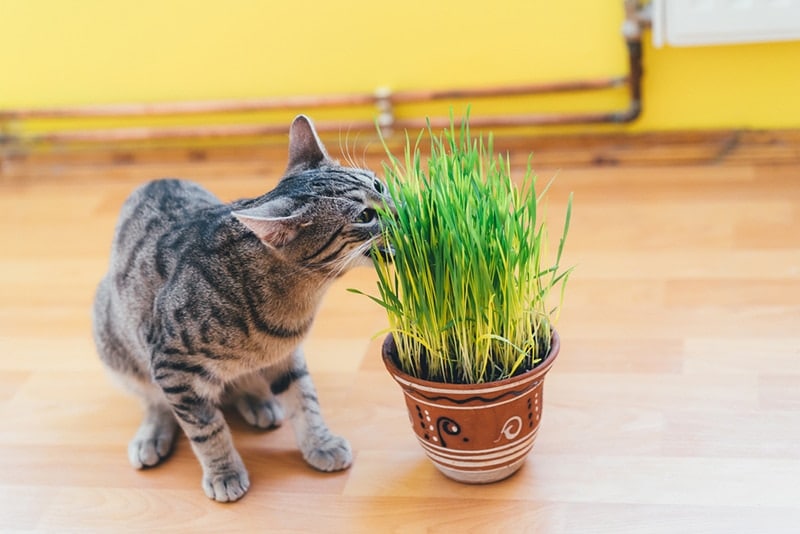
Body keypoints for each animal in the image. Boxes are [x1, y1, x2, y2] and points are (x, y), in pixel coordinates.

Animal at [94, 115, 394, 504]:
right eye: (366, 215)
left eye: (379, 184)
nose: (403, 210)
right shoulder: (172, 367)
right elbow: (207, 430)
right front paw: (224, 472)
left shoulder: (288, 356)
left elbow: (305, 401)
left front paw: (320, 443)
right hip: (119, 346)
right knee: (155, 401)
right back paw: (152, 434)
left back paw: (258, 401)